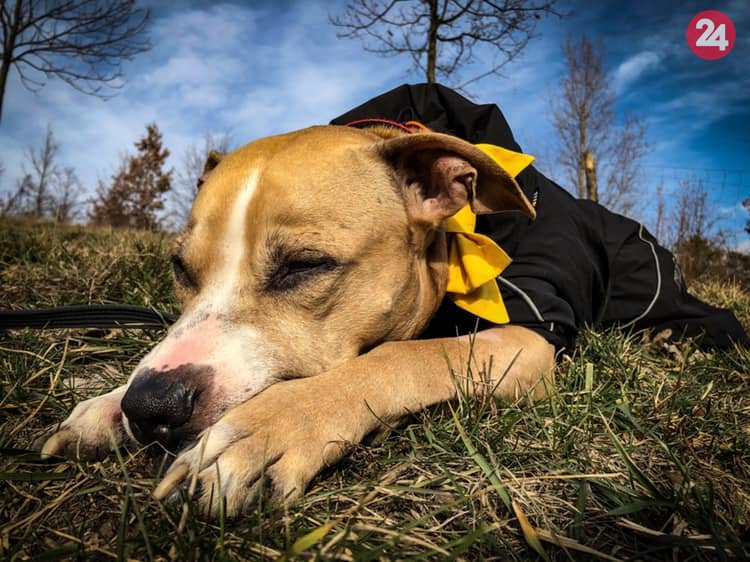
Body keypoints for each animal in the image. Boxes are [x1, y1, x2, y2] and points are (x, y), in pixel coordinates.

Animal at [40, 84, 747, 517]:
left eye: (304, 266)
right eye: (180, 268)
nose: (151, 406)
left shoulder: (525, 338)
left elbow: (399, 357)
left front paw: (267, 427)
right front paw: (106, 406)